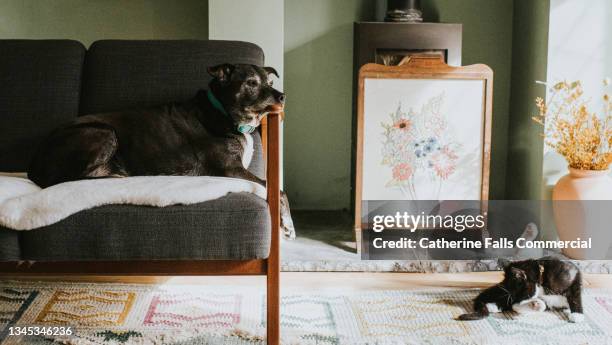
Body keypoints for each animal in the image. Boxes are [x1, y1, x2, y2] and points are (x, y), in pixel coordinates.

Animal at [27, 63, 296, 238]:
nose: (282, 96)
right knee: (69, 177)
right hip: (104, 132)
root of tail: (34, 163)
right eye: (251, 83)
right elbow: (280, 191)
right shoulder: (230, 169)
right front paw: (288, 225)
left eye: (270, 82)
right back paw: (114, 176)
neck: (223, 112)